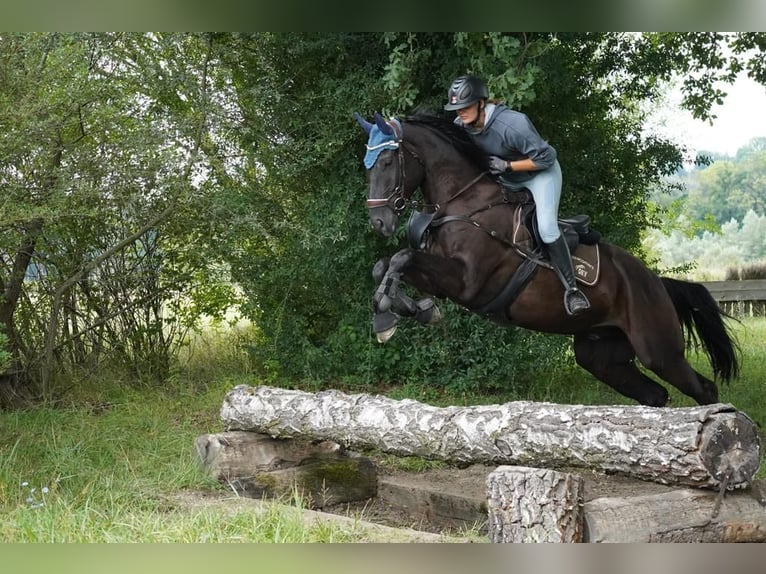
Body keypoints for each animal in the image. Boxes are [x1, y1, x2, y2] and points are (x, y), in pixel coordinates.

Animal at [356, 113, 740, 410]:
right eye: (367, 166)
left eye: (387, 163)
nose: (379, 222)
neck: (465, 203)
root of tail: (657, 282)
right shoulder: (440, 275)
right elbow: (386, 265)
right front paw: (404, 310)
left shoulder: (467, 282)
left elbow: (402, 257)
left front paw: (393, 315)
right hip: (601, 355)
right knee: (654, 394)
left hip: (658, 349)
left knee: (702, 388)